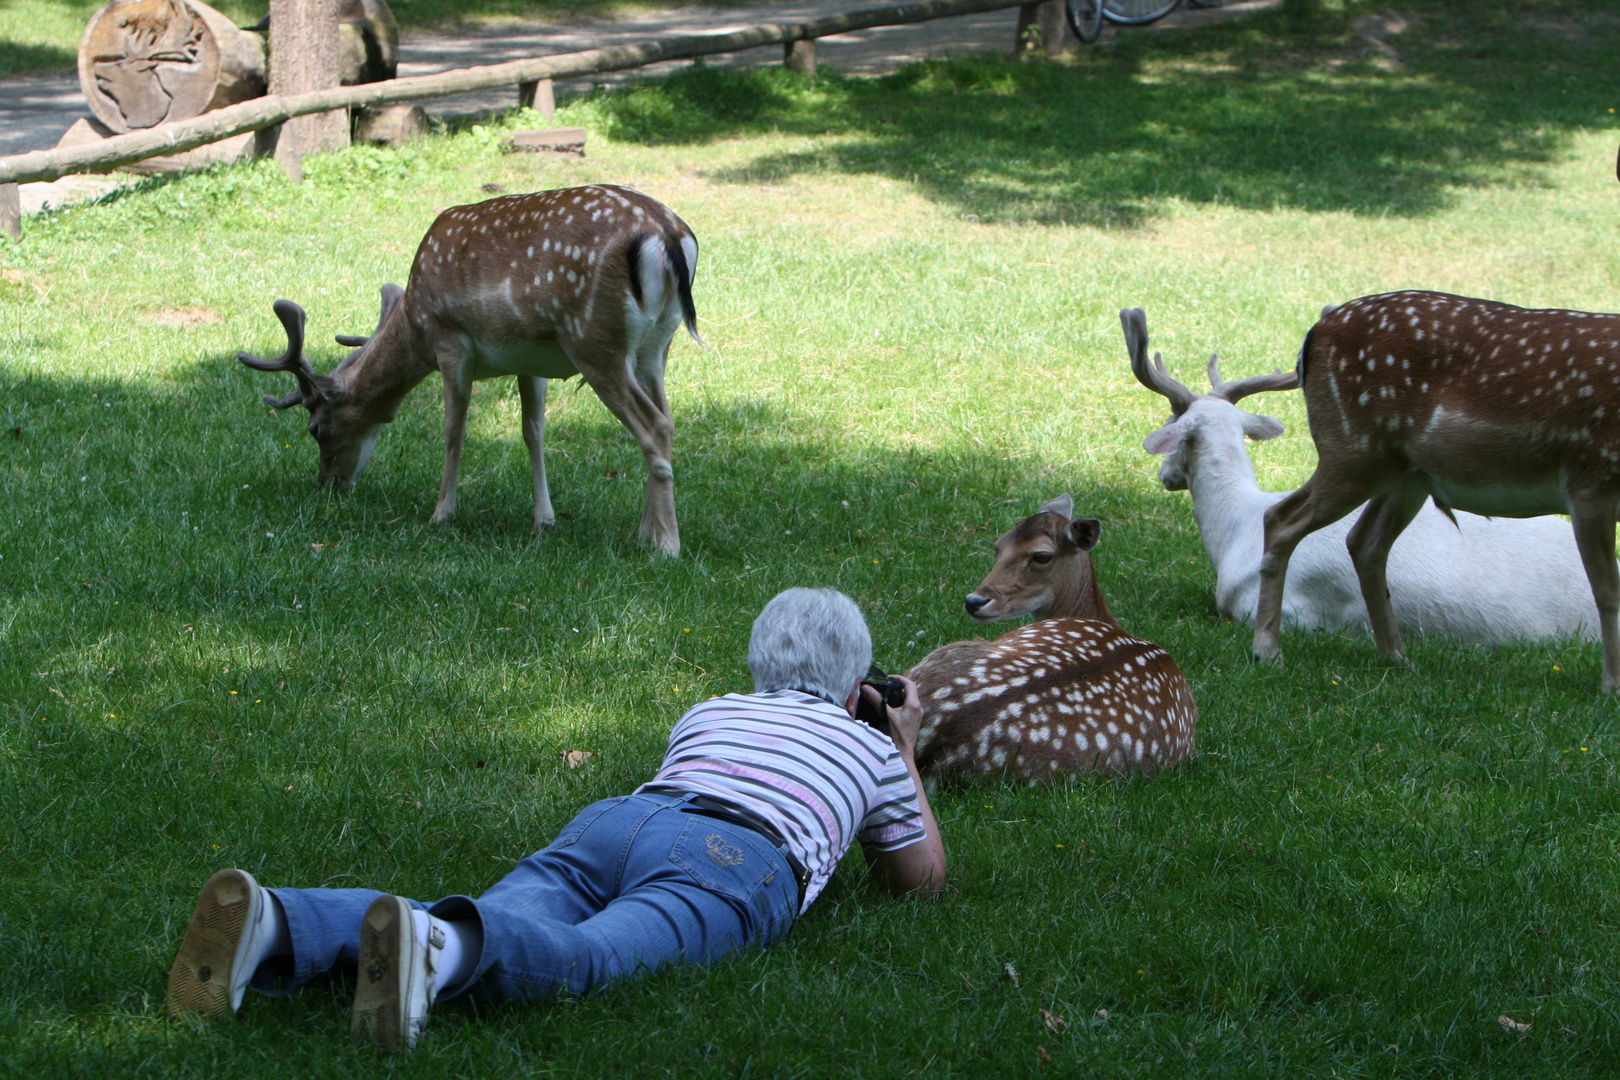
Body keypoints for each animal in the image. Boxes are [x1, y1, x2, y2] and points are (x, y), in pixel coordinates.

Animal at [238, 183, 696, 557]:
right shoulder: (530, 361)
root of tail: (668, 237)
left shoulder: (450, 342)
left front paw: (441, 514)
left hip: (595, 339)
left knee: (654, 426)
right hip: (655, 346)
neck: (415, 326)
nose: (328, 483)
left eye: (316, 429)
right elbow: (533, 432)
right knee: (668, 421)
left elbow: (453, 430)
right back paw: (646, 532)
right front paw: (544, 520)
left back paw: (667, 546)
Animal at [1250, 291, 1620, 689]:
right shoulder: (1590, 479)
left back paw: (1396, 656)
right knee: (1281, 518)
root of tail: (1318, 328)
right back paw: (1267, 651)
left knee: (1364, 541)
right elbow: (1607, 591)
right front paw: (1611, 686)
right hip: (1352, 449)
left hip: (1405, 474)